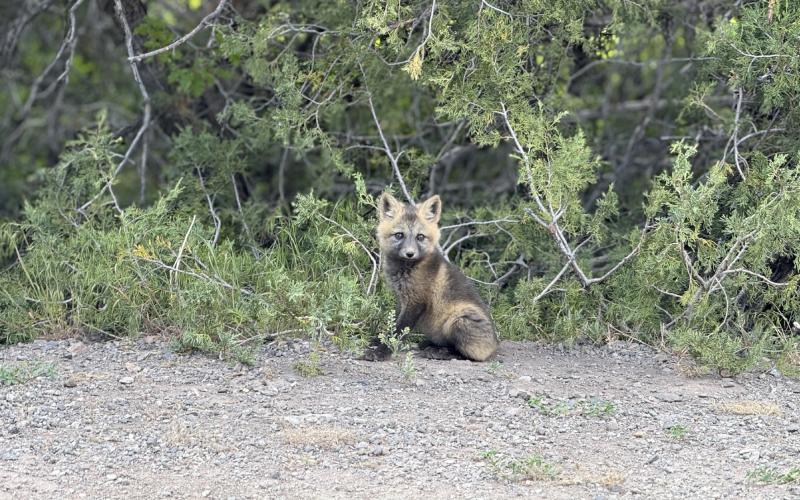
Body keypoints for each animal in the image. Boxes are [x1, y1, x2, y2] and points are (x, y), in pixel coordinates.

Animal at [363, 192, 499, 362]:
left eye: (420, 237)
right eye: (399, 235)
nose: (410, 253)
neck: (406, 270)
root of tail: (495, 345)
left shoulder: (416, 302)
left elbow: (398, 330)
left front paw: (382, 351)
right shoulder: (402, 299)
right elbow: (393, 325)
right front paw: (380, 340)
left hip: (458, 320)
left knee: (467, 354)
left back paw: (438, 352)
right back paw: (429, 344)